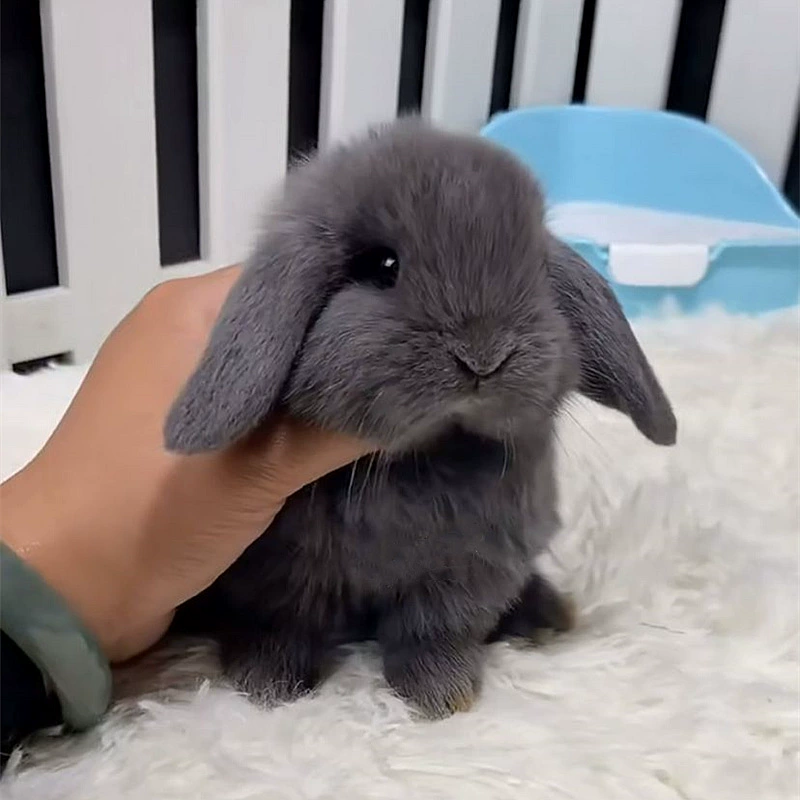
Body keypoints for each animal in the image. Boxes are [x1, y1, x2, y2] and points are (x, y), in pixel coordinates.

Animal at [165, 117, 677, 718]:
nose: (484, 356)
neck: (420, 460)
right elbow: (284, 624)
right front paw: (267, 686)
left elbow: (434, 630)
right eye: (382, 266)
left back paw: (547, 615)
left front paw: (443, 696)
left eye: (536, 272)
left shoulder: (471, 570)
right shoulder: (275, 572)